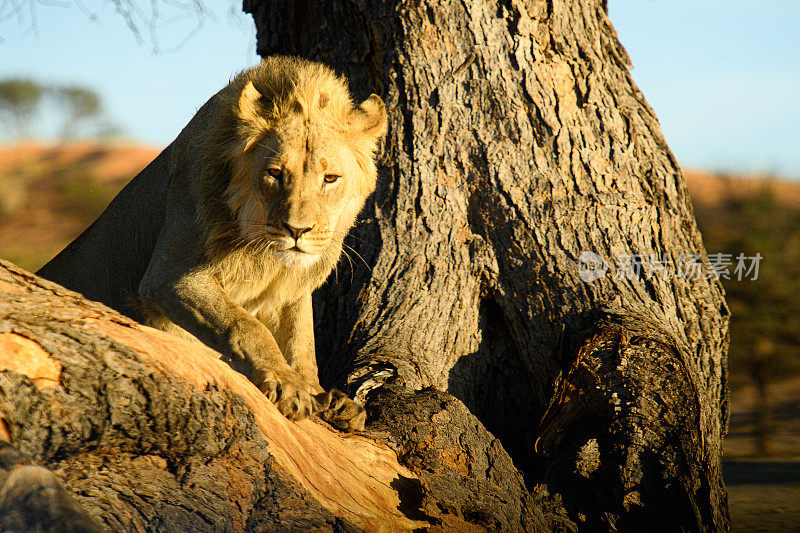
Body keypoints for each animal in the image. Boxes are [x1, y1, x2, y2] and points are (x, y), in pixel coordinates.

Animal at [37, 57, 388, 432]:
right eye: (275, 173)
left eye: (330, 179)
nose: (297, 230)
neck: (266, 257)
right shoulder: (169, 276)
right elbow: (245, 325)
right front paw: (286, 383)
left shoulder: (290, 287)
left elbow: (302, 339)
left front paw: (325, 397)